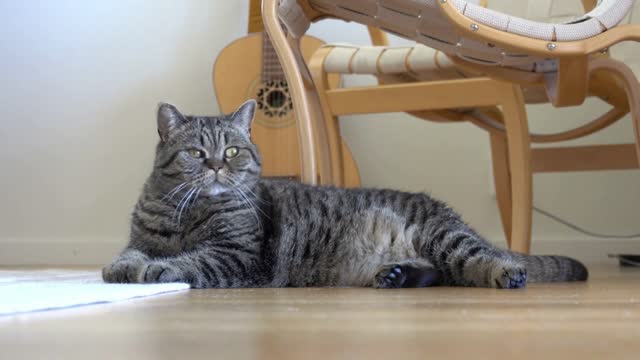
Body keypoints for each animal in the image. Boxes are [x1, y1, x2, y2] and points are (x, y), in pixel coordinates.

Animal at [101, 101, 592, 290]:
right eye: (196, 152)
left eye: (234, 150)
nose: (217, 166)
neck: (184, 211)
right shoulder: (141, 237)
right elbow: (129, 253)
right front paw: (122, 266)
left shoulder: (236, 254)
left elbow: (189, 262)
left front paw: (155, 270)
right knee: (438, 274)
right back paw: (396, 275)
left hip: (446, 238)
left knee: (478, 260)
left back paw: (505, 272)